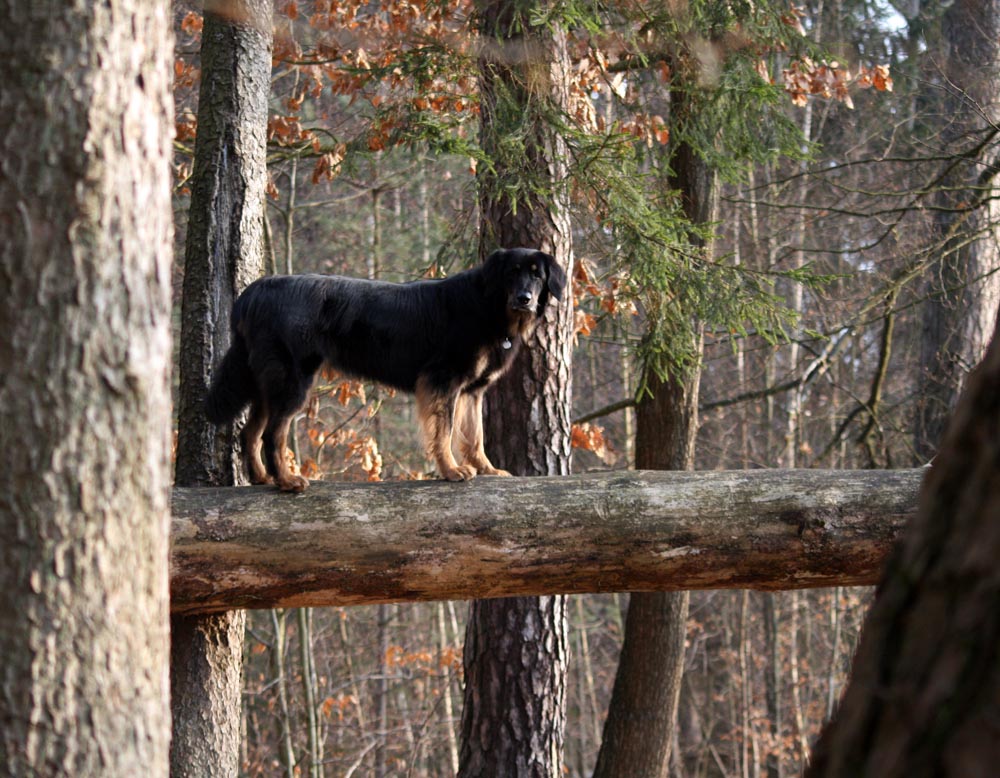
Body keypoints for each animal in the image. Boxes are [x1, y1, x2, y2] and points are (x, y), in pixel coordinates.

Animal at [205, 249, 564, 492]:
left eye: (536, 275)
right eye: (512, 273)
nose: (524, 298)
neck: (489, 306)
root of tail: (254, 292)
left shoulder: (471, 392)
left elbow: (474, 436)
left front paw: (487, 469)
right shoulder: (442, 380)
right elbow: (444, 432)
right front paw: (451, 470)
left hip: (267, 380)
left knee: (250, 431)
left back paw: (262, 477)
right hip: (292, 379)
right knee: (272, 433)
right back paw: (286, 480)